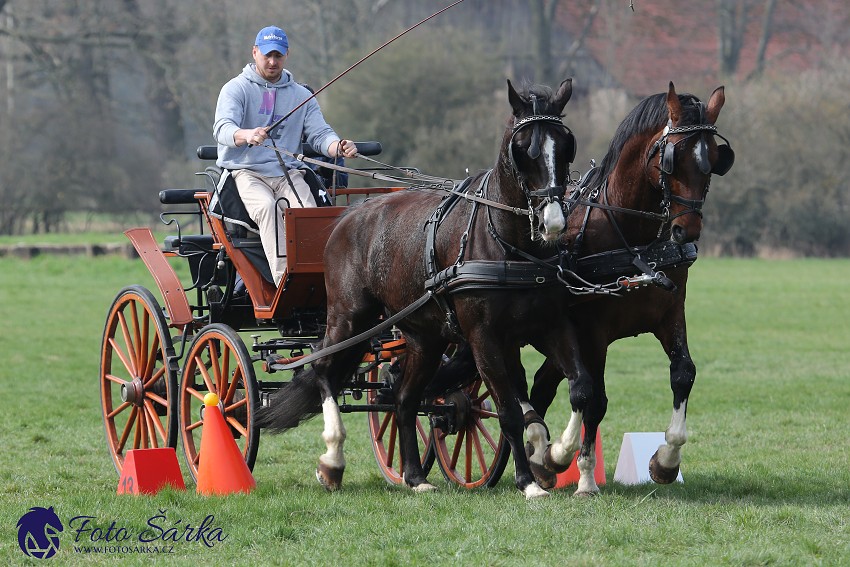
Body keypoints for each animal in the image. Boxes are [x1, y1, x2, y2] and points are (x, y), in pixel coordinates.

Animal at [256, 79, 588, 496]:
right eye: (524, 148)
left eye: (566, 144)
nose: (554, 222)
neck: (510, 245)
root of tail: (348, 216)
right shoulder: (484, 337)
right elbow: (509, 410)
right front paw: (529, 482)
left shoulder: (550, 326)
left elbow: (579, 388)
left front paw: (555, 455)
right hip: (349, 318)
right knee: (324, 369)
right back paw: (332, 460)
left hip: (423, 338)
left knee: (403, 399)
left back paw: (415, 477)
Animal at [528, 82, 732, 494]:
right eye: (672, 158)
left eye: (713, 159)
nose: (686, 230)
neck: (632, 241)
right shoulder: (594, 332)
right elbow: (595, 399)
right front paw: (582, 474)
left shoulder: (670, 313)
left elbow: (683, 373)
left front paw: (666, 462)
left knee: (541, 387)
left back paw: (537, 465)